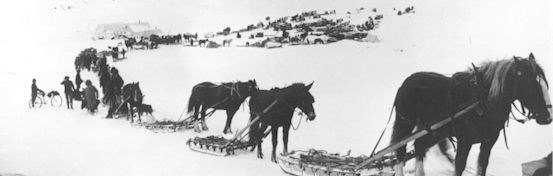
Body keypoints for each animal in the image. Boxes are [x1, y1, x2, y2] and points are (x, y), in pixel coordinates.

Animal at [390, 53, 548, 176]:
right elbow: (459, 166)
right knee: (400, 152)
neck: (482, 101)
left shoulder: (488, 142)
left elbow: (482, 165)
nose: (548, 117)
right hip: (405, 124)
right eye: (532, 86)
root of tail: (408, 80)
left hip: (433, 130)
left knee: (419, 146)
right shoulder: (464, 142)